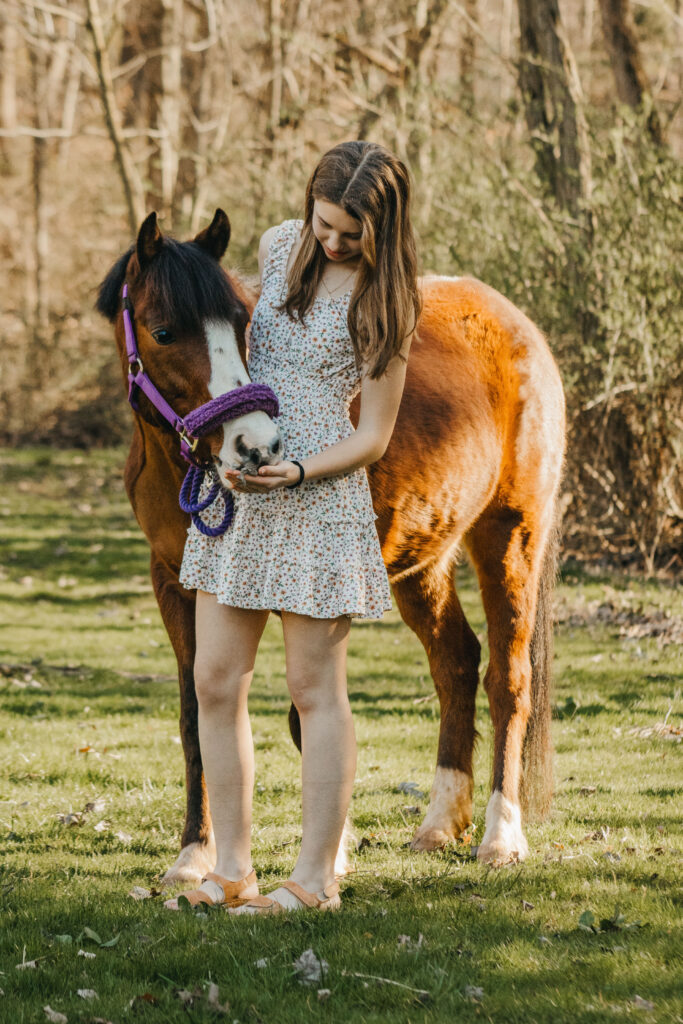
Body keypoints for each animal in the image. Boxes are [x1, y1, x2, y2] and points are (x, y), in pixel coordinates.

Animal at [97, 209, 565, 880]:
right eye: (163, 331)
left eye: (239, 323)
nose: (256, 447)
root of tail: (514, 322)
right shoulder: (175, 585)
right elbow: (195, 718)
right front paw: (193, 856)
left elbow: (304, 712)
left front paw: (331, 852)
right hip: (422, 564)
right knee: (456, 662)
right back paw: (439, 823)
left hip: (511, 536)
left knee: (509, 677)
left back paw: (501, 835)